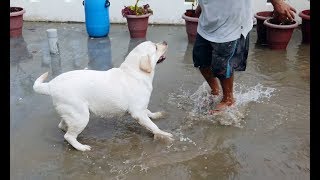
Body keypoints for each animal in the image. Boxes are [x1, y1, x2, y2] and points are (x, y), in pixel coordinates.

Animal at [33, 40, 174, 150]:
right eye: (155, 47)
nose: (165, 42)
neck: (133, 72)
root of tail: (51, 85)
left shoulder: (141, 108)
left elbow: (149, 113)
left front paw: (156, 115)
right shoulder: (138, 112)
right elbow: (153, 126)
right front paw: (164, 134)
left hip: (71, 112)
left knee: (63, 126)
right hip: (81, 116)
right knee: (68, 136)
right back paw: (81, 147)